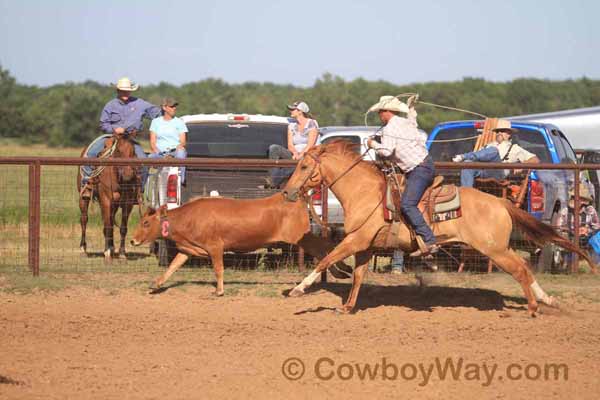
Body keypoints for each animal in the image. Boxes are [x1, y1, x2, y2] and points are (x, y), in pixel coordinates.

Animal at [78, 132, 141, 262]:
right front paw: (107, 252)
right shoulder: (106, 201)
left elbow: (122, 228)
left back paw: (112, 248)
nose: (128, 175)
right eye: (118, 151)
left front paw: (122, 253)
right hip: (83, 199)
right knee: (84, 219)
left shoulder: (127, 204)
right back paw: (83, 249)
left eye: (133, 151)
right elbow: (108, 226)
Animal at [282, 139, 596, 318]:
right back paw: (548, 300)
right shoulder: (365, 246)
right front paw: (346, 308)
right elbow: (358, 277)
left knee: (520, 269)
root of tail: (499, 201)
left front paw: (297, 290)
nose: (287, 192)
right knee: (526, 269)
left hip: (494, 249)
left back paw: (532, 307)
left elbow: (325, 260)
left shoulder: (355, 240)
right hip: (499, 247)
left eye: (304, 166)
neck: (364, 192)